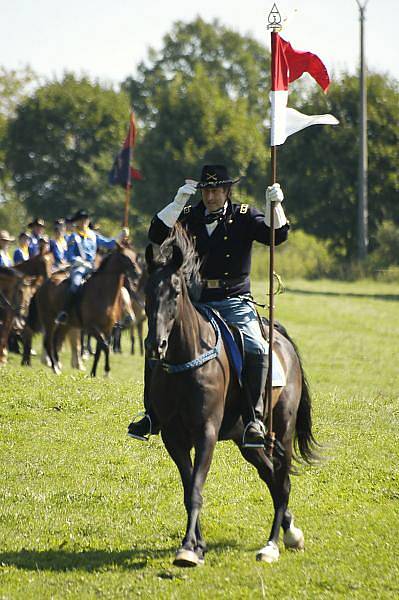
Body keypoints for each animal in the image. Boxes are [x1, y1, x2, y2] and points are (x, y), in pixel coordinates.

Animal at [22, 244, 141, 376]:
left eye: (134, 255)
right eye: (125, 256)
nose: (137, 274)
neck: (103, 292)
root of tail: (42, 286)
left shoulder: (106, 329)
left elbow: (100, 350)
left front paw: (95, 372)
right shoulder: (91, 327)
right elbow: (104, 346)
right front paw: (105, 371)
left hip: (65, 325)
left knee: (55, 341)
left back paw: (58, 364)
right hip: (49, 321)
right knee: (48, 342)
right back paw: (55, 368)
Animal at [142, 225, 318, 568]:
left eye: (176, 292)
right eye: (145, 292)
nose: (156, 345)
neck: (186, 360)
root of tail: (279, 337)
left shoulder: (206, 433)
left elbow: (196, 487)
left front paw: (188, 549)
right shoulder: (174, 438)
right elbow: (189, 489)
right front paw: (196, 545)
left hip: (282, 430)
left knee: (282, 482)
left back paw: (272, 545)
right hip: (244, 439)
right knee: (270, 476)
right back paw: (290, 532)